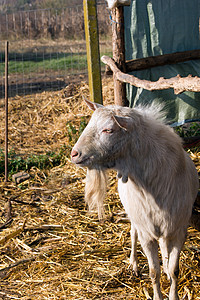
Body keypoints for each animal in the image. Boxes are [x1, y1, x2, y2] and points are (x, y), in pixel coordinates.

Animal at [70, 99, 198, 300]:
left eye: (109, 130)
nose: (74, 154)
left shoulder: (179, 229)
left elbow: (174, 270)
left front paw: (173, 292)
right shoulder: (146, 232)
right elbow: (154, 272)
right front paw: (157, 295)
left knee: (163, 245)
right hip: (135, 216)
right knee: (132, 233)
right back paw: (134, 264)